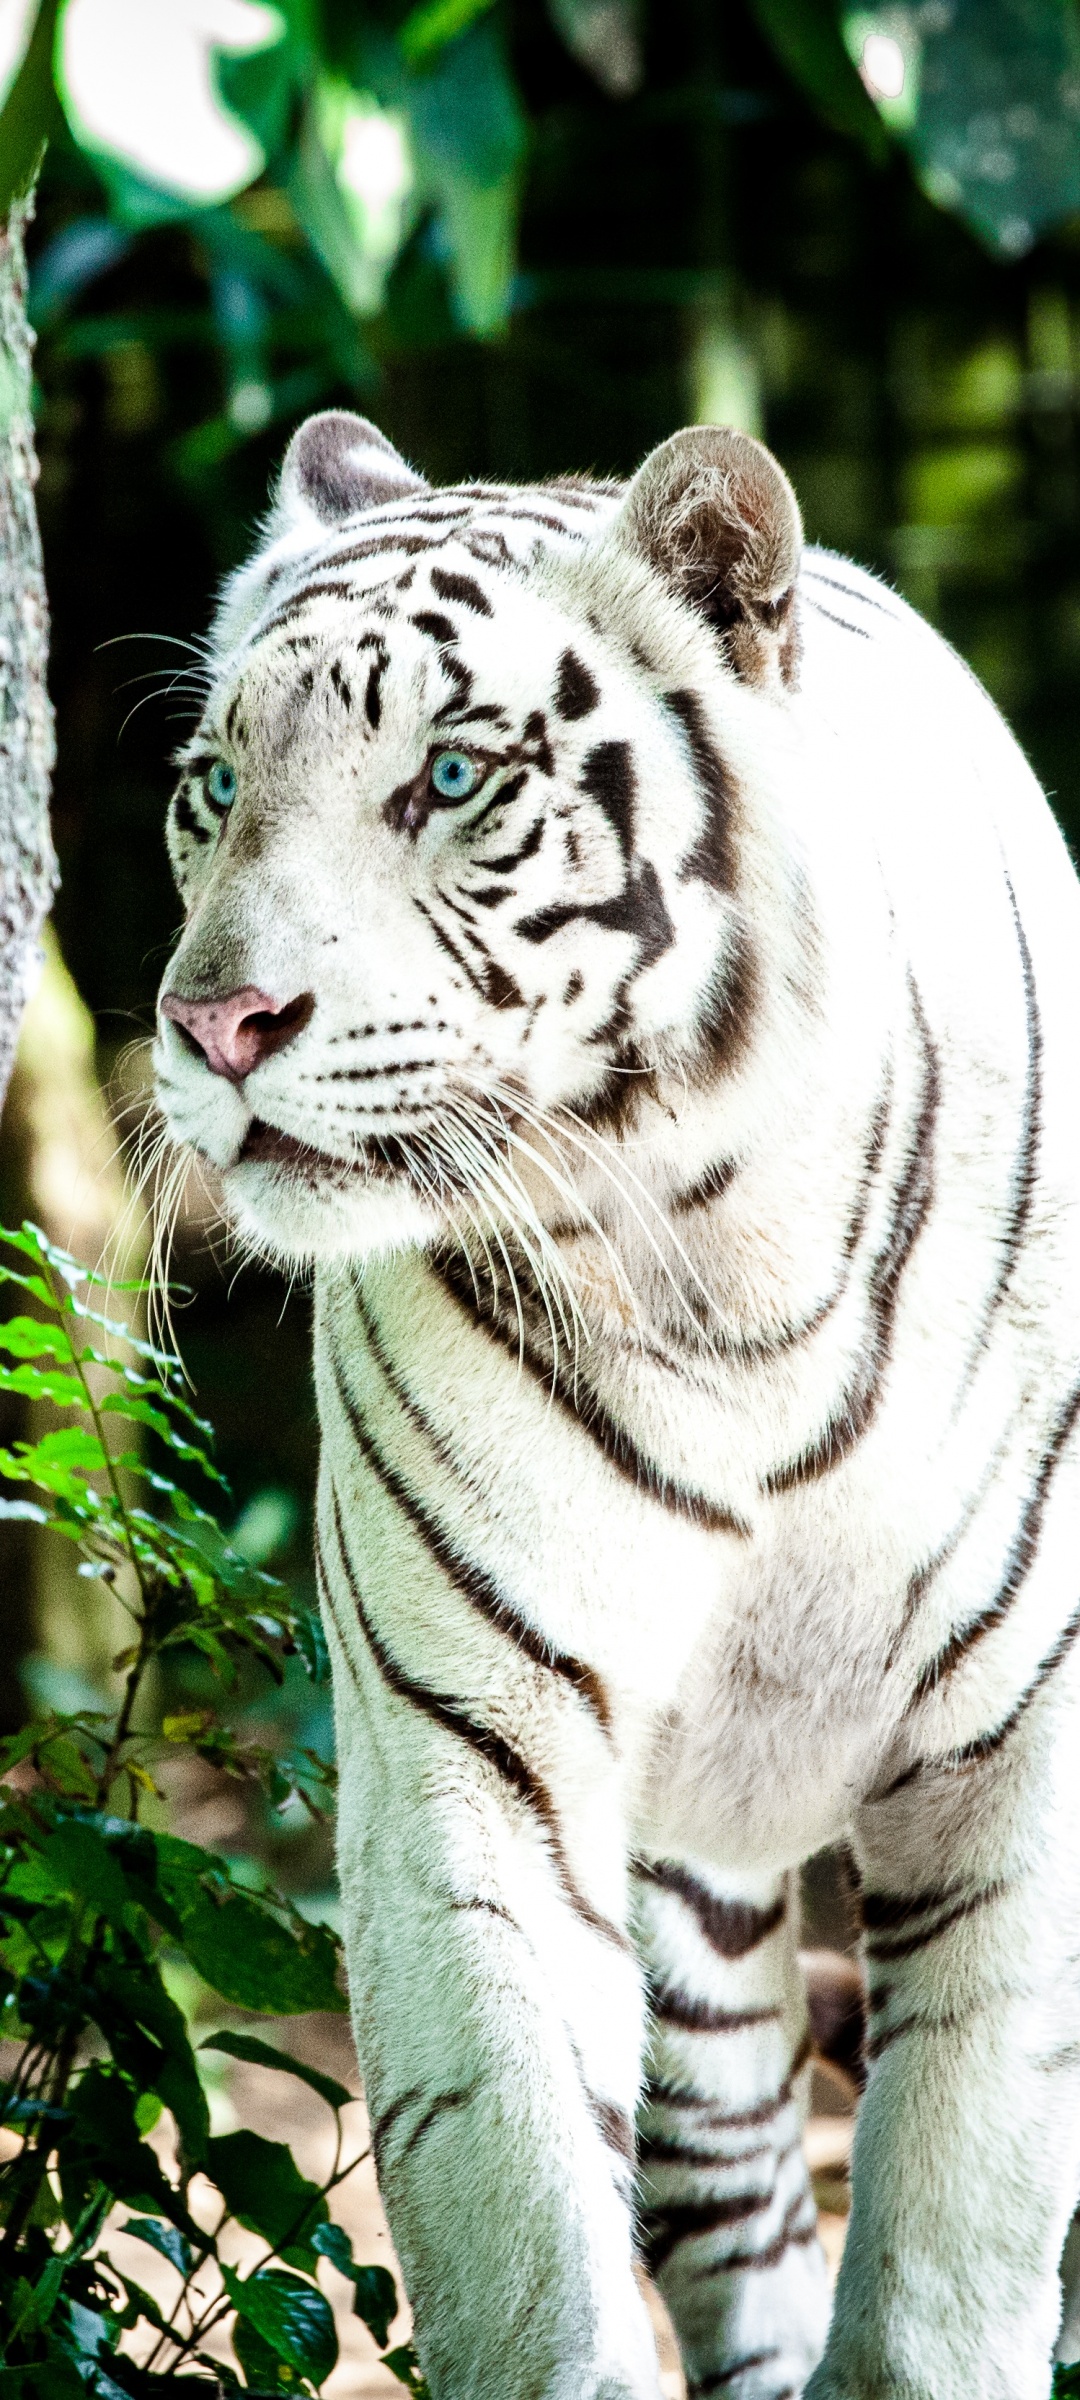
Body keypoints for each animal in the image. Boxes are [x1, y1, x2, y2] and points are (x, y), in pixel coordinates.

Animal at [153, 412, 1080, 2400]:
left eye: (447, 778)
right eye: (215, 783)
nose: (215, 1025)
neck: (724, 1269)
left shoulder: (1021, 1748)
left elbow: (955, 2241)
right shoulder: (474, 1751)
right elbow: (520, 2232)